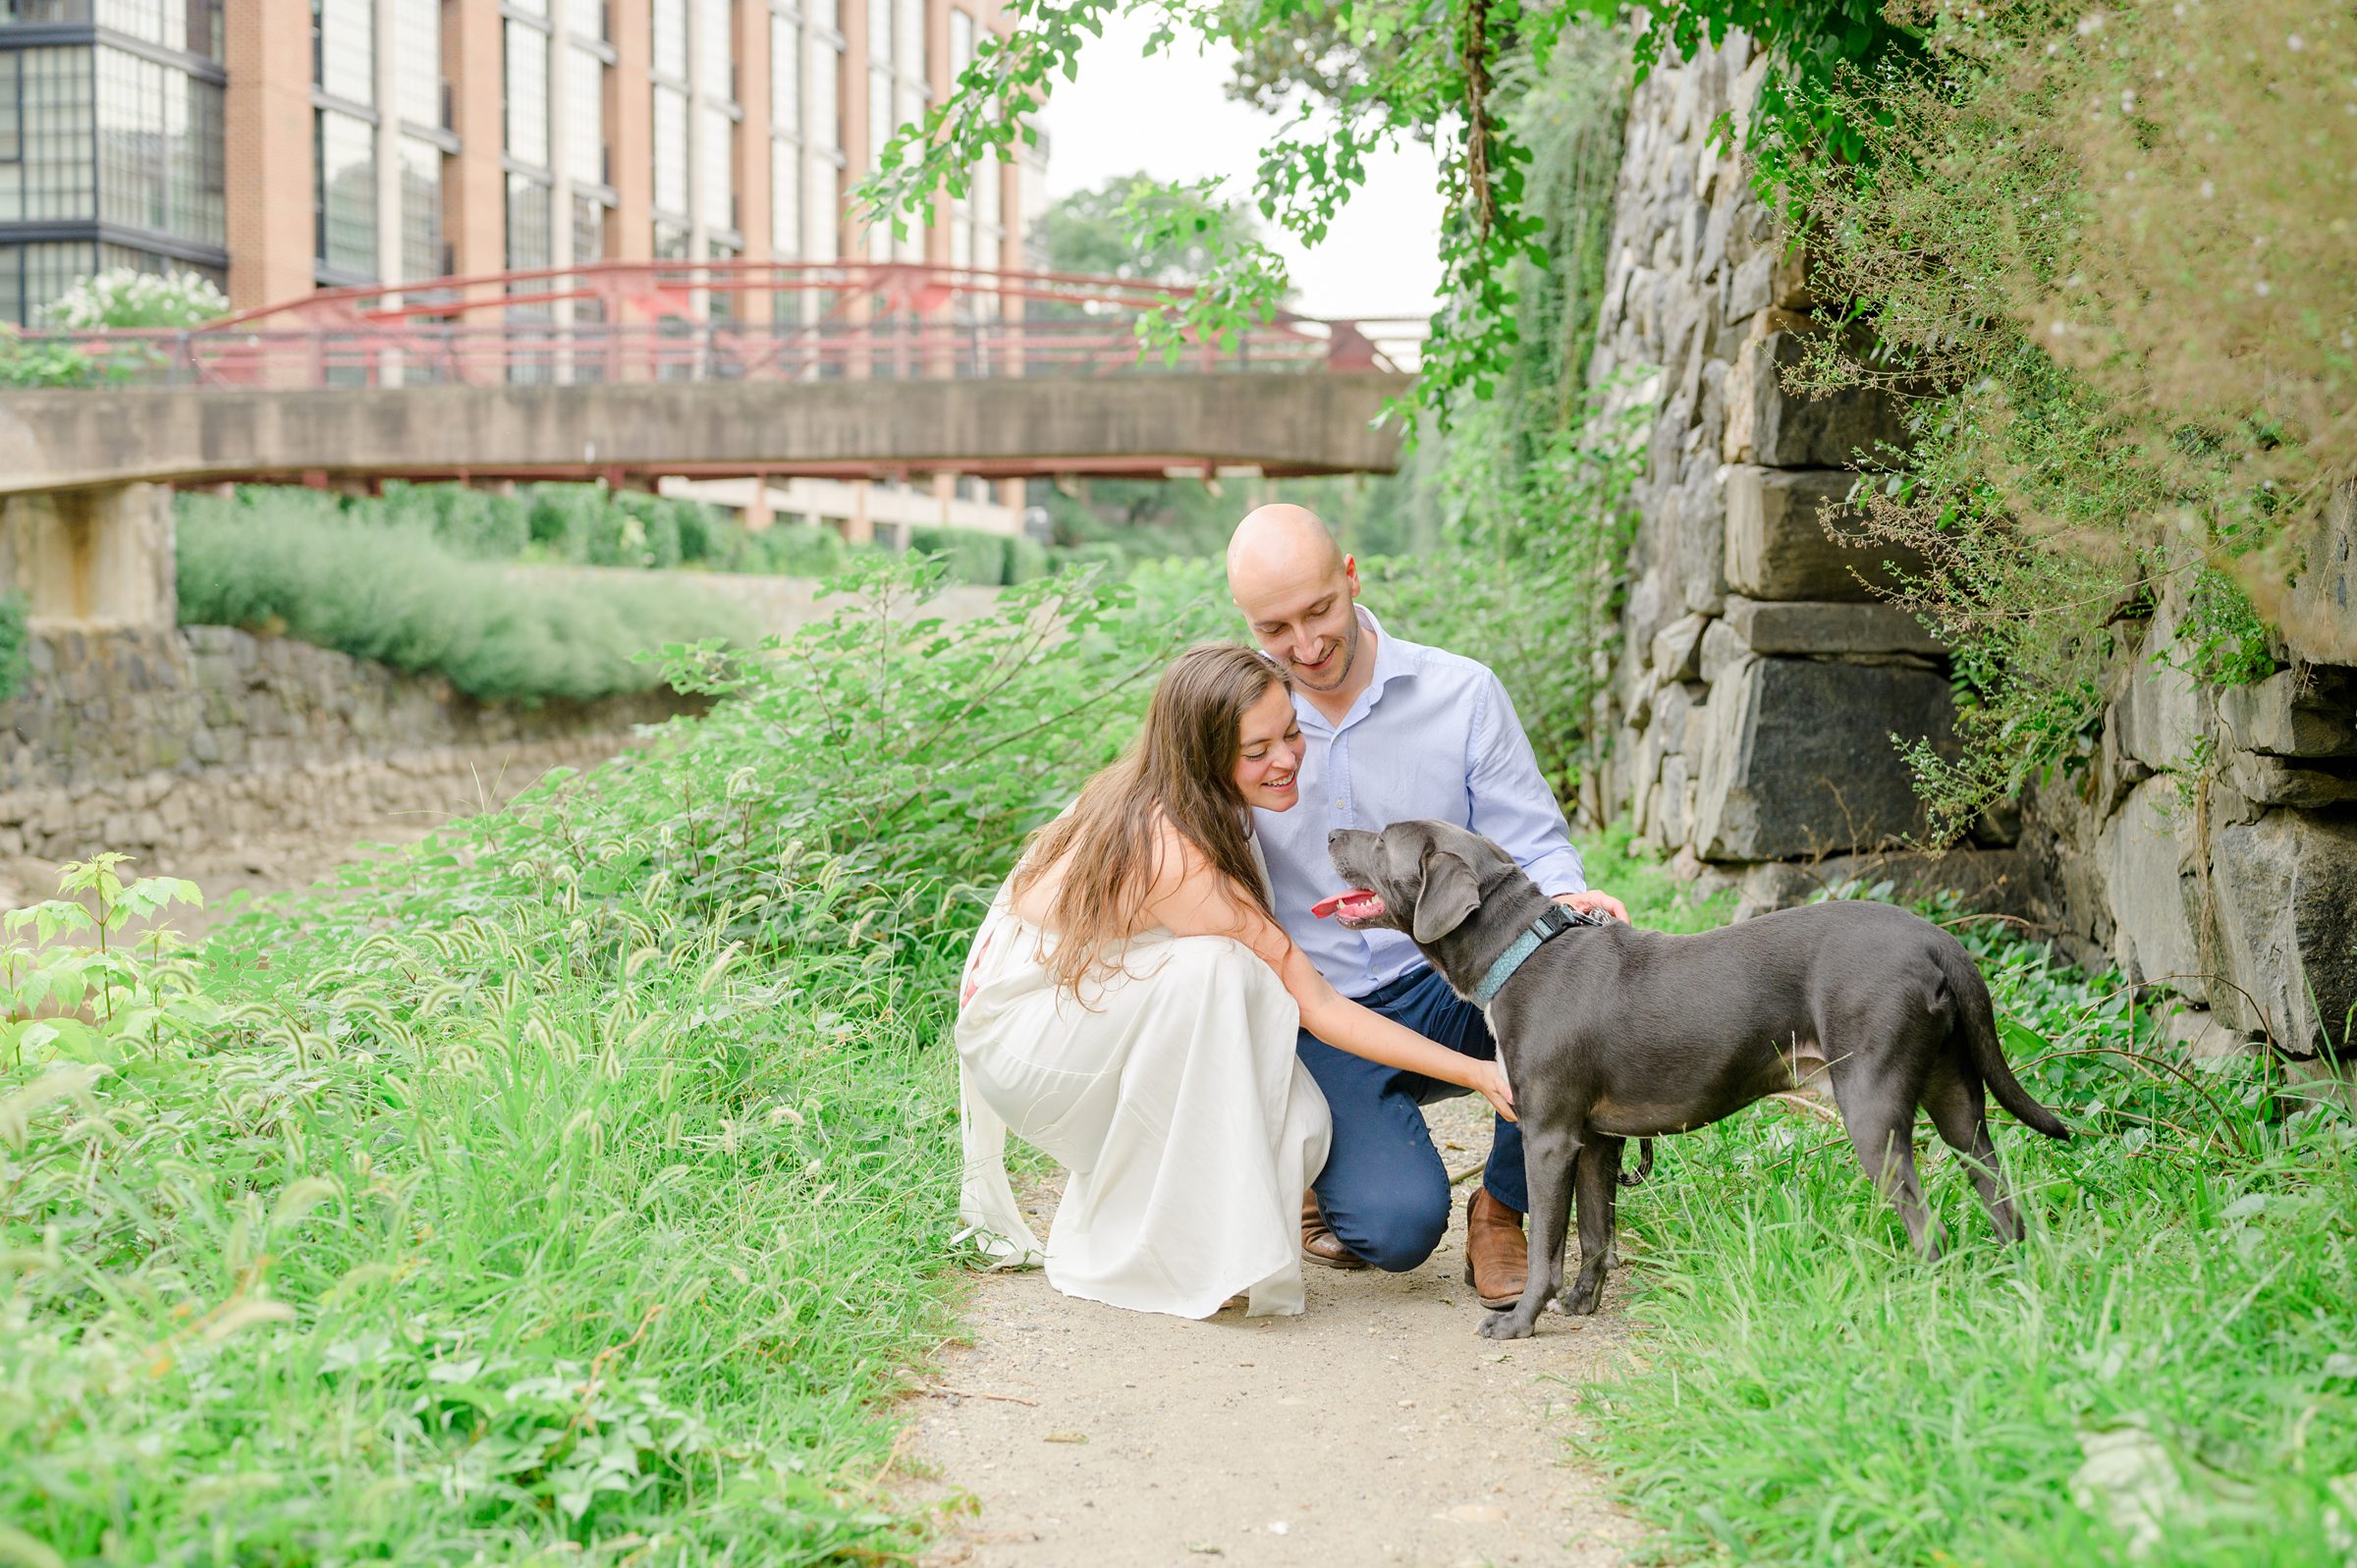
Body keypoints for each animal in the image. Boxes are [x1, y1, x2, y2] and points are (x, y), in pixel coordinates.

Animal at [1320, 811, 2074, 1339]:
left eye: (1383, 838)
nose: (1328, 831)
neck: (1521, 952)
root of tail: (1938, 939)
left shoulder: (1550, 1135)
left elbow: (1547, 1247)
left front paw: (1521, 1321)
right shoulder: (1597, 1141)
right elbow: (1595, 1234)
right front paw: (1582, 1304)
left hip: (1873, 1109)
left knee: (1929, 1227)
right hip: (1959, 1105)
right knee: (2004, 1204)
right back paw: (2015, 1286)